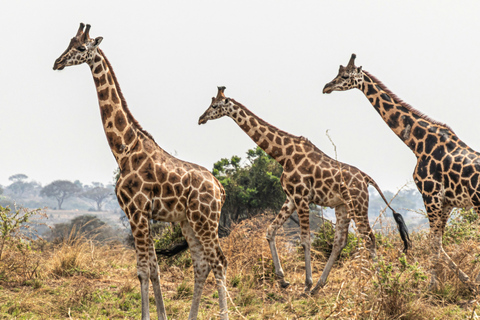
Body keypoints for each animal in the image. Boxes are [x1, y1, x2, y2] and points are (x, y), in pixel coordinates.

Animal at [53, 23, 231, 318]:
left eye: (81, 47)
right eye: (67, 42)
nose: (57, 62)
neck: (124, 151)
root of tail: (220, 188)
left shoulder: (136, 211)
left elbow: (143, 270)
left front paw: (148, 314)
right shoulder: (142, 214)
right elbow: (155, 268)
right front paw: (162, 314)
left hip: (206, 220)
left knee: (219, 262)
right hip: (189, 222)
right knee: (201, 264)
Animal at [199, 85, 408, 296]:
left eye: (215, 105)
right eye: (210, 103)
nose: (201, 118)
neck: (283, 155)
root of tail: (366, 178)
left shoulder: (301, 197)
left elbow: (305, 239)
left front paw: (306, 284)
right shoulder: (290, 198)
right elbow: (270, 230)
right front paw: (283, 280)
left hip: (357, 204)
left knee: (369, 238)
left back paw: (379, 281)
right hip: (342, 206)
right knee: (340, 241)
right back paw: (319, 286)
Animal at [322, 54, 480, 290]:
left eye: (346, 76)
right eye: (338, 73)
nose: (327, 87)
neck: (417, 144)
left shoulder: (430, 195)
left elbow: (434, 243)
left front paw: (431, 286)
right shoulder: (446, 202)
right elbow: (438, 242)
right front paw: (467, 281)